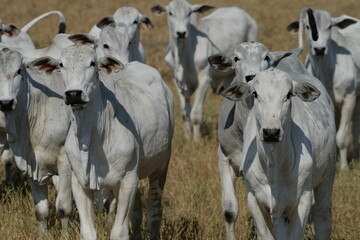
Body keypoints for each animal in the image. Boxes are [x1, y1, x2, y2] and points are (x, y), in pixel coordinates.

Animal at [0, 47, 72, 235]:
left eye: (19, 71)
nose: (5, 103)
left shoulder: (65, 162)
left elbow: (64, 207)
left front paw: (65, 235)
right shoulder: (31, 164)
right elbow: (41, 211)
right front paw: (42, 235)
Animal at [29, 44, 174, 238]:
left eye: (92, 63)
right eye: (61, 64)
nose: (73, 94)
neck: (91, 139)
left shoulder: (127, 180)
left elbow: (119, 233)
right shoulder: (79, 183)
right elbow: (88, 232)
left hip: (161, 167)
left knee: (154, 211)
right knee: (137, 212)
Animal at [150, 0, 258, 141]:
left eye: (189, 13)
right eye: (170, 13)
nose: (181, 33)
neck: (182, 54)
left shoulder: (204, 80)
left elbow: (196, 114)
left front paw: (197, 140)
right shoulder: (177, 82)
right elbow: (185, 113)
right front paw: (188, 137)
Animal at [222, 68, 334, 240]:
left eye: (288, 94)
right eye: (255, 94)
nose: (271, 132)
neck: (274, 163)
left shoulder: (304, 197)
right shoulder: (254, 199)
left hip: (326, 178)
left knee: (322, 223)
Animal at [286, 7, 360, 169]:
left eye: (330, 26)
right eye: (307, 26)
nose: (319, 49)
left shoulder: (349, 98)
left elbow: (342, 136)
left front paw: (344, 167)